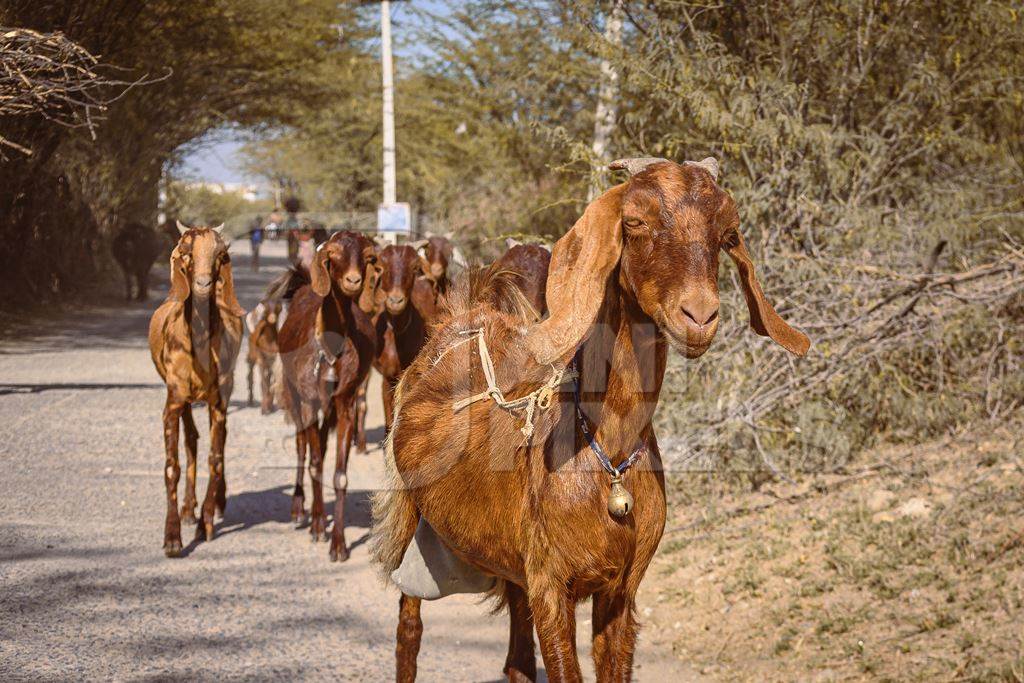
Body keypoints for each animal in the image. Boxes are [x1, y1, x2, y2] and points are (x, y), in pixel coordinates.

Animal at [149, 222, 244, 557]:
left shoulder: (219, 401)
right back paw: (188, 509)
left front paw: (206, 522)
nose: (203, 284)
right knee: (191, 438)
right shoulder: (173, 400)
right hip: (187, 400)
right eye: (186, 252)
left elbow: (214, 458)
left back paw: (216, 503)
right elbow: (172, 465)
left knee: (221, 441)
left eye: (220, 254)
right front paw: (172, 537)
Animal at [276, 229, 380, 561]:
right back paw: (300, 509)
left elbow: (339, 474)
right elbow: (315, 462)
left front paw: (338, 543)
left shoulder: (345, 402)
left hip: (329, 407)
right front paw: (319, 526)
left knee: (319, 441)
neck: (330, 348)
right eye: (332, 255)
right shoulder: (309, 401)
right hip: (294, 394)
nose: (353, 280)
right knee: (302, 448)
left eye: (367, 256)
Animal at [372, 158, 811, 679]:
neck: (609, 456)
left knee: (516, 655)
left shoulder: (620, 590)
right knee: (409, 626)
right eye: (634, 222)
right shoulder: (550, 585)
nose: (699, 316)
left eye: (726, 233)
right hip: (412, 516)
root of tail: (460, 320)